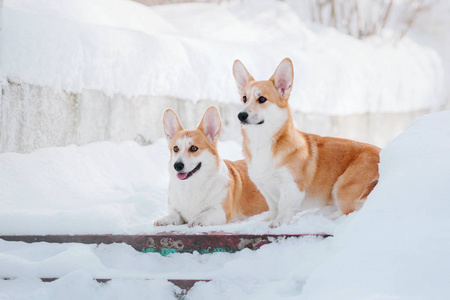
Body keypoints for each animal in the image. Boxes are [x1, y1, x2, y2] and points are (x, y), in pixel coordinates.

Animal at [232, 58, 380, 227]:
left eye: (262, 99)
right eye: (244, 98)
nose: (241, 115)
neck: (262, 142)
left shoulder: (292, 187)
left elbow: (284, 208)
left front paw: (278, 223)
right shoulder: (266, 188)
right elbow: (274, 207)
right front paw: (267, 220)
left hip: (343, 186)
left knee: (350, 210)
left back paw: (324, 218)